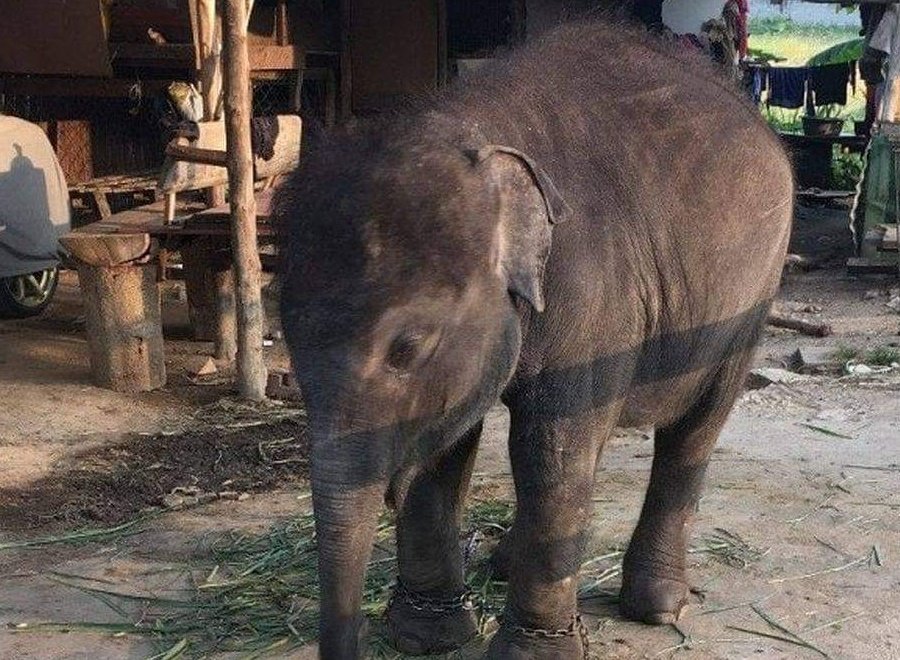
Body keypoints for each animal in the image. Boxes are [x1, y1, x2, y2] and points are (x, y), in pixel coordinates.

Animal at [277, 16, 793, 660]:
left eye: (406, 349)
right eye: (289, 344)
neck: (473, 130)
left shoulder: (592, 283)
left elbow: (551, 449)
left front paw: (528, 651)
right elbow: (446, 445)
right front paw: (427, 637)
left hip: (752, 296)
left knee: (696, 426)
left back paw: (656, 606)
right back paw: (504, 565)